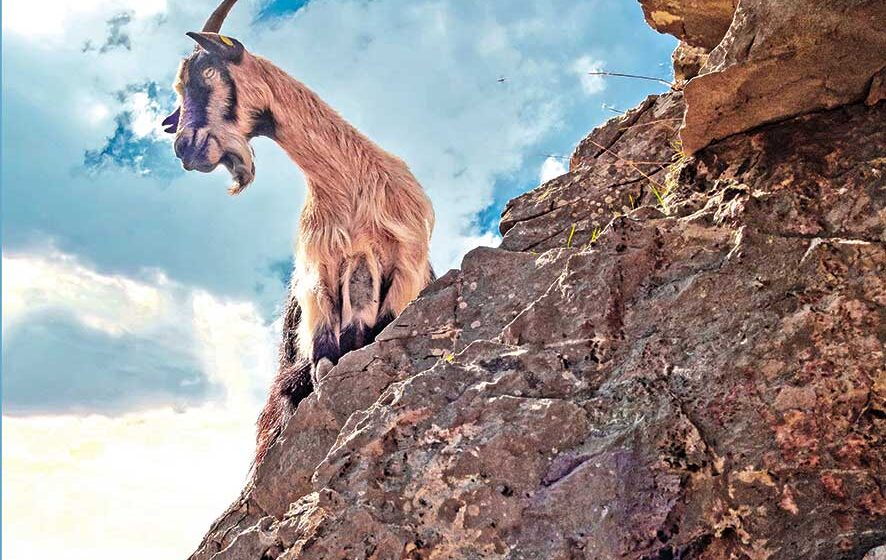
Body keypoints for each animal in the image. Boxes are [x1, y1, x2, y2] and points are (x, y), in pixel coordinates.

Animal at [163, 0, 435, 462]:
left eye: (207, 72)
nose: (186, 147)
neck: (349, 188)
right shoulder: (316, 280)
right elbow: (324, 364)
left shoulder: (406, 267)